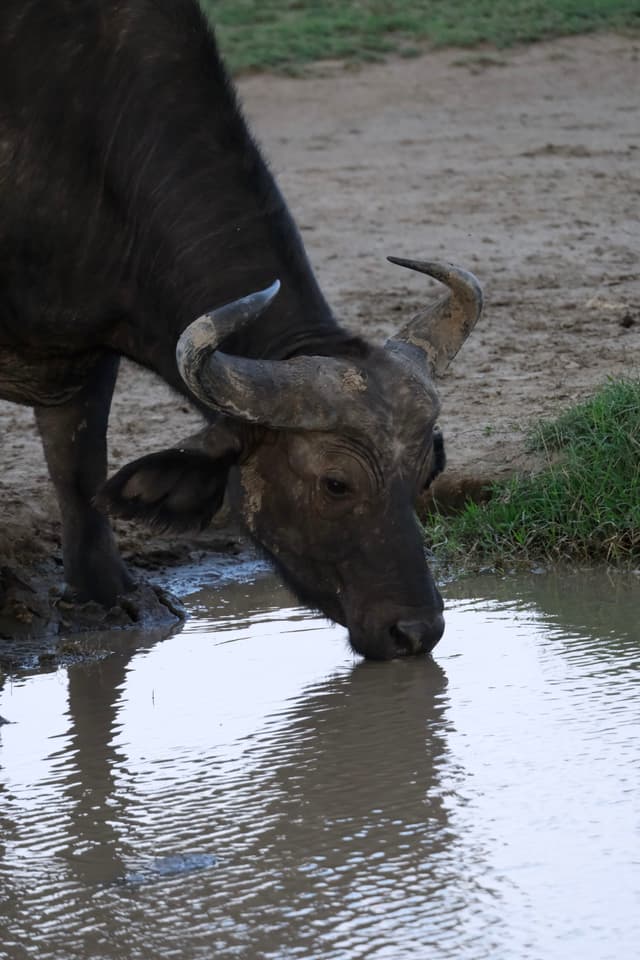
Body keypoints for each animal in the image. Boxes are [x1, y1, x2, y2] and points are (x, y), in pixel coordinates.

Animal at [0, 0, 481, 658]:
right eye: (336, 484)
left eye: (426, 473)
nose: (415, 630)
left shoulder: (90, 349)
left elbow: (78, 467)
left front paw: (106, 594)